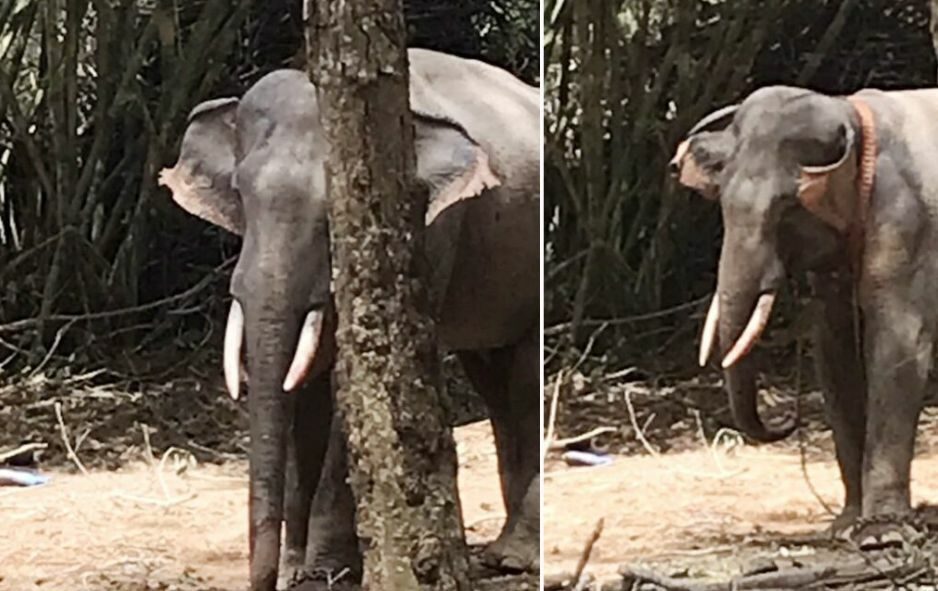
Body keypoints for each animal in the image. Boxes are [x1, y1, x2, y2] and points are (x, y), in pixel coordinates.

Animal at [158, 48, 539, 590]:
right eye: (240, 191)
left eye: (332, 213)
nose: (265, 580)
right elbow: (304, 381)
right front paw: (297, 568)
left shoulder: (430, 232)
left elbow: (347, 390)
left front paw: (323, 572)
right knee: (493, 382)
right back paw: (499, 554)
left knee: (524, 384)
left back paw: (516, 559)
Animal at [670, 85, 938, 546]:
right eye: (722, 204)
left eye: (786, 208)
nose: (785, 419)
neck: (850, 112)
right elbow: (832, 347)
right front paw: (846, 525)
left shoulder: (908, 225)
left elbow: (897, 345)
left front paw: (881, 534)